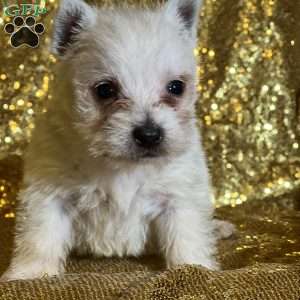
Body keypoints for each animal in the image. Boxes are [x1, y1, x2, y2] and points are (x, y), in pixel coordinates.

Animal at [1, 0, 230, 282]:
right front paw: (29, 274)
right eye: (105, 90)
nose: (149, 135)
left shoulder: (178, 196)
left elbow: (186, 237)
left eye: (176, 87)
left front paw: (195, 269)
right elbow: (40, 236)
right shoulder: (49, 194)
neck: (120, 165)